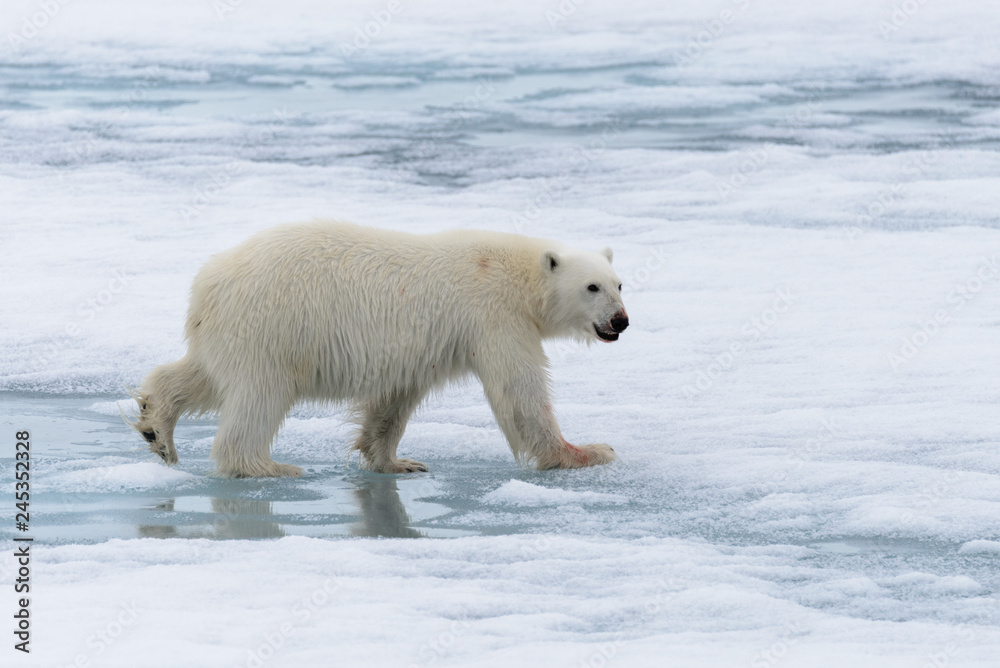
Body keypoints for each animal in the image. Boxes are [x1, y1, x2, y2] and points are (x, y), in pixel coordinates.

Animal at [130, 221, 629, 477]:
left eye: (620, 283)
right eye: (592, 287)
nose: (620, 321)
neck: (519, 274)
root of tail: (209, 282)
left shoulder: (419, 348)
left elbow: (393, 401)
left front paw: (396, 461)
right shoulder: (494, 315)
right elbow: (519, 391)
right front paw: (588, 451)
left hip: (230, 331)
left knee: (201, 376)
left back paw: (157, 428)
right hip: (274, 326)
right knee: (259, 396)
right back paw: (269, 467)